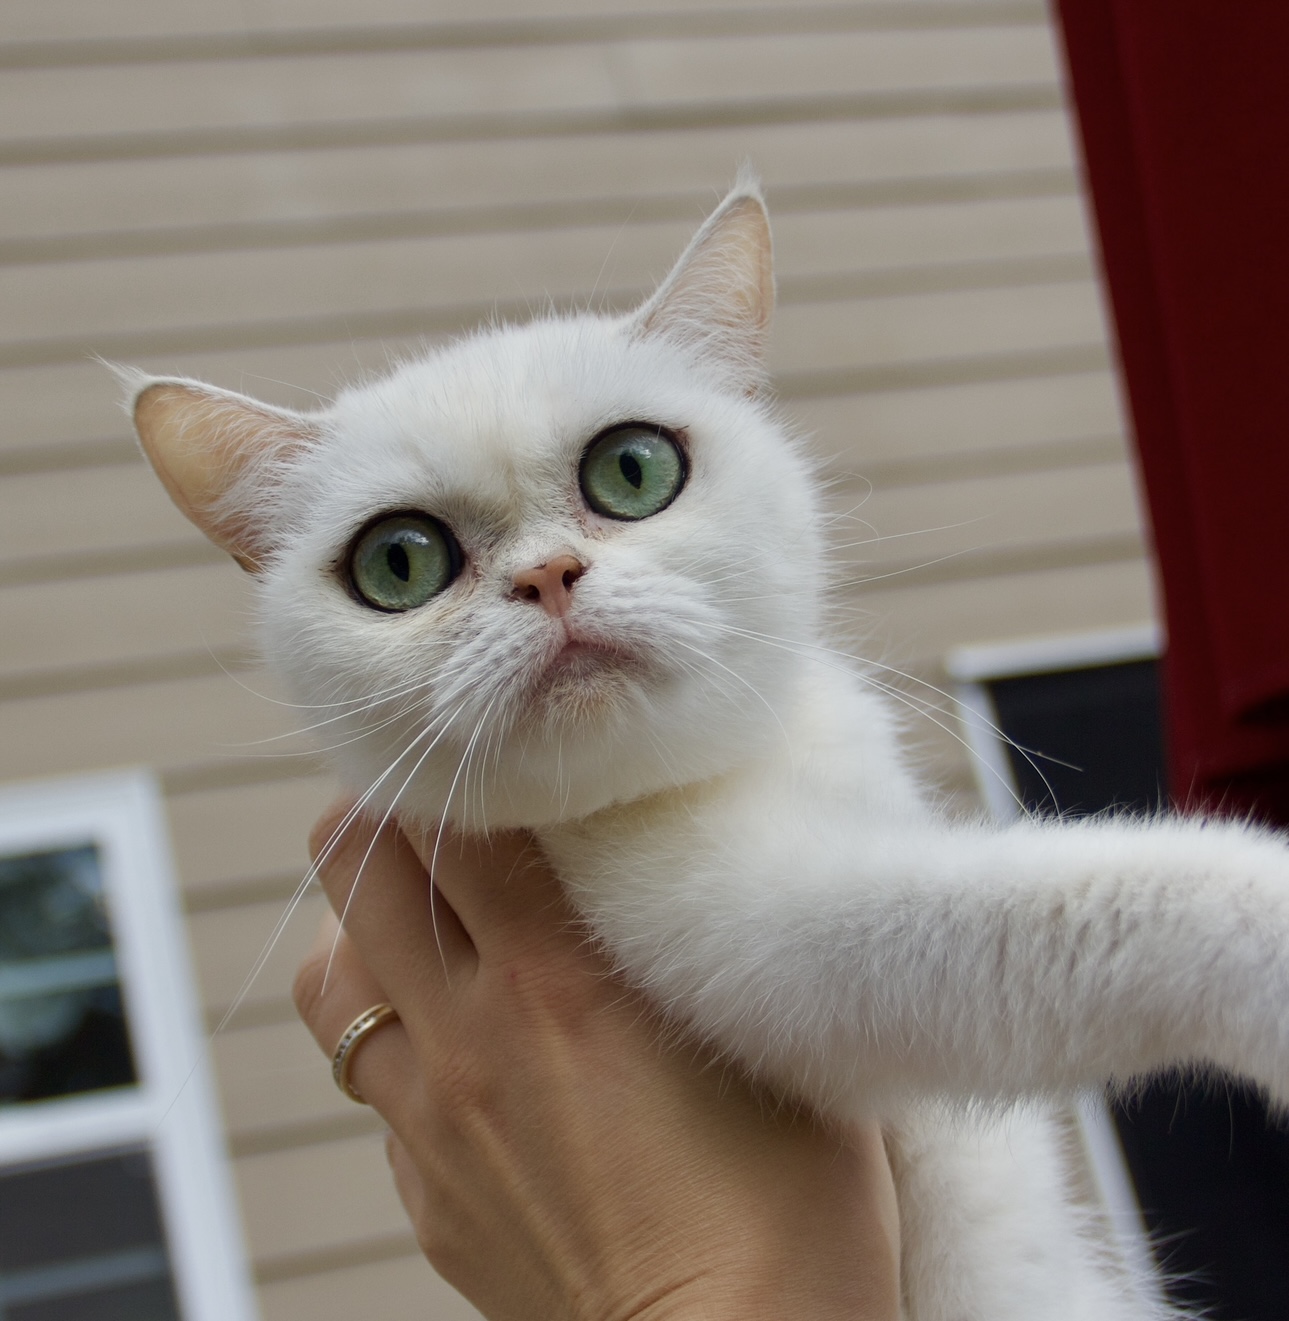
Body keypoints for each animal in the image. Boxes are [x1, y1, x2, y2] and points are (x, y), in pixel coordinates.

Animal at [123, 178, 1289, 1321]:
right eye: (398, 562)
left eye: (633, 469)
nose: (546, 576)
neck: (737, 772)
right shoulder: (786, 955)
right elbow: (1089, 902)